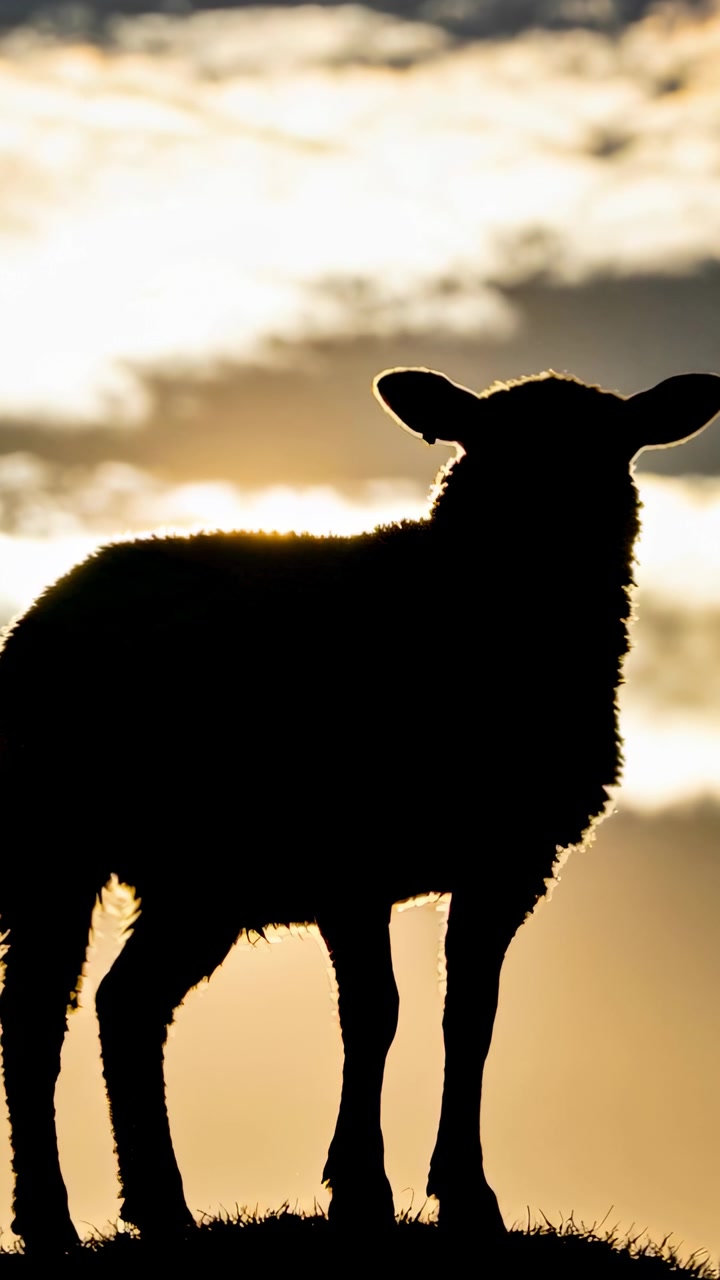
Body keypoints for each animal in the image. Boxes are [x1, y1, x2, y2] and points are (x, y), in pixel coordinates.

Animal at [0, 365, 718, 1253]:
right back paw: (50, 1218)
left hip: (201, 885)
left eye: (612, 447)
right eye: (483, 442)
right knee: (35, 1017)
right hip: (54, 839)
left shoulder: (509, 862)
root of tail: (56, 596)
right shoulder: (352, 864)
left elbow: (469, 1019)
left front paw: (468, 1196)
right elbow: (373, 1015)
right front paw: (362, 1192)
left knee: (126, 1007)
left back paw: (162, 1207)